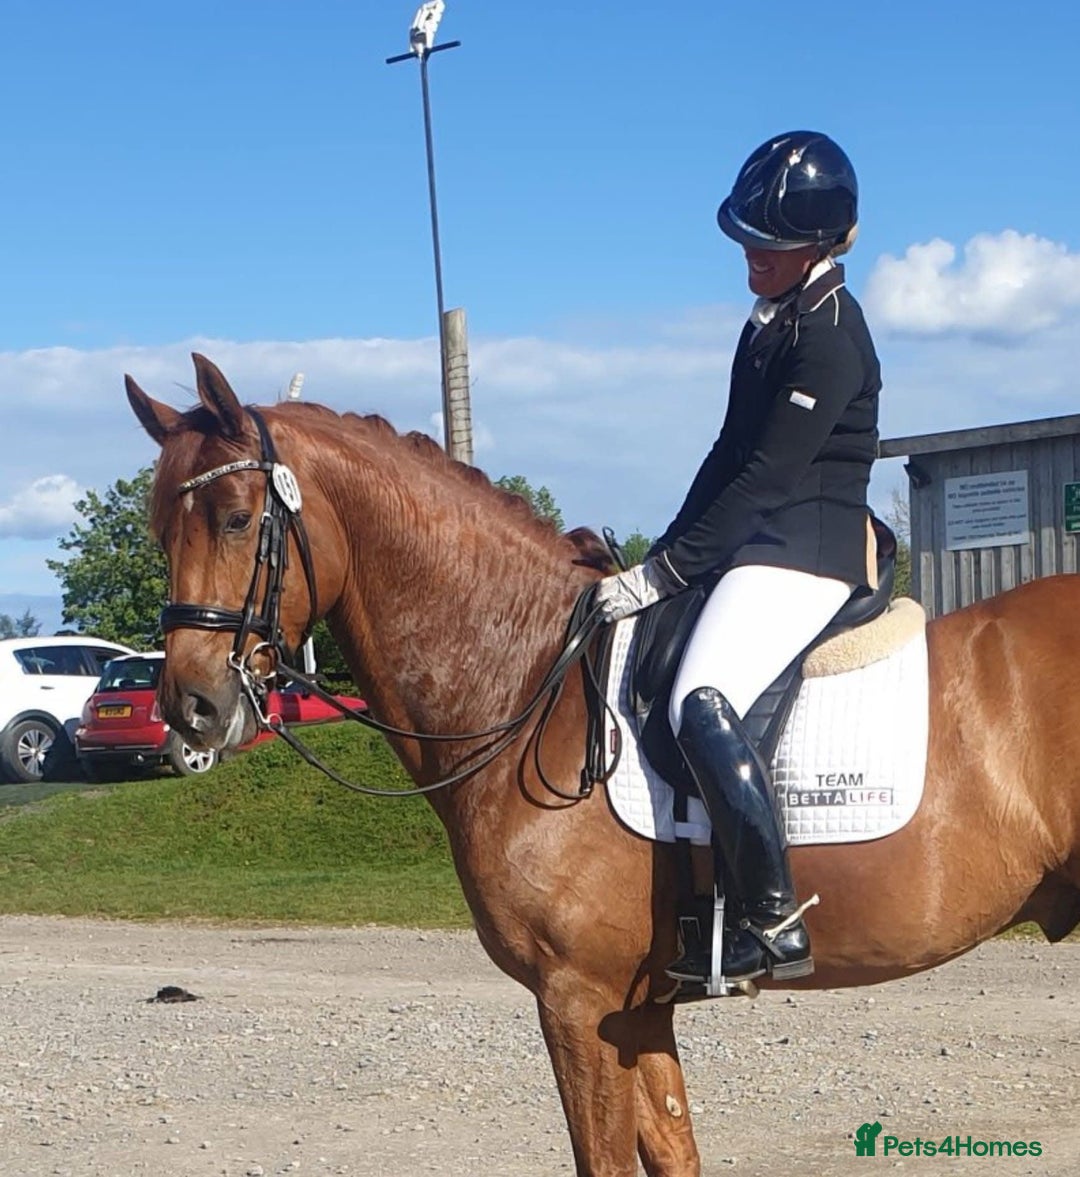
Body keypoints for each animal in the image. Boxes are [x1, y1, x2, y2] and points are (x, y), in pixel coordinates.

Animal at [126, 354, 1080, 1177]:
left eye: (237, 518)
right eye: (158, 527)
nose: (191, 706)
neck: (527, 679)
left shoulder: (579, 1001)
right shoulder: (638, 1008)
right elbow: (673, 1151)